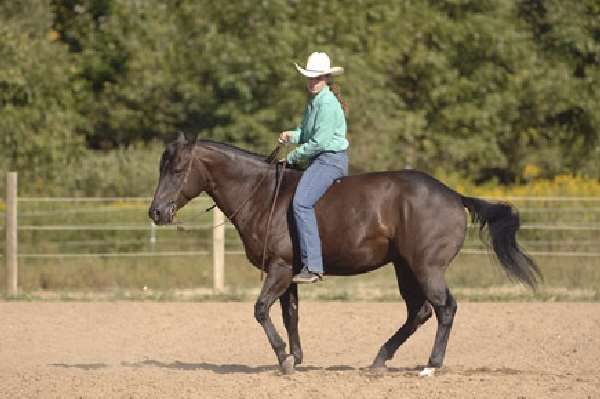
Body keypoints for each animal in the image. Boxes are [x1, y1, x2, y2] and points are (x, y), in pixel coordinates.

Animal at [149, 134, 540, 376]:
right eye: (161, 166)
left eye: (178, 168)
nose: (156, 212)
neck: (262, 195)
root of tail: (454, 195)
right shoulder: (288, 274)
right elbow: (290, 315)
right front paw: (295, 358)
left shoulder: (278, 270)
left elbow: (261, 310)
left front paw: (283, 358)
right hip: (405, 268)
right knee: (419, 312)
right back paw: (380, 359)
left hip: (426, 268)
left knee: (444, 309)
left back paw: (430, 365)